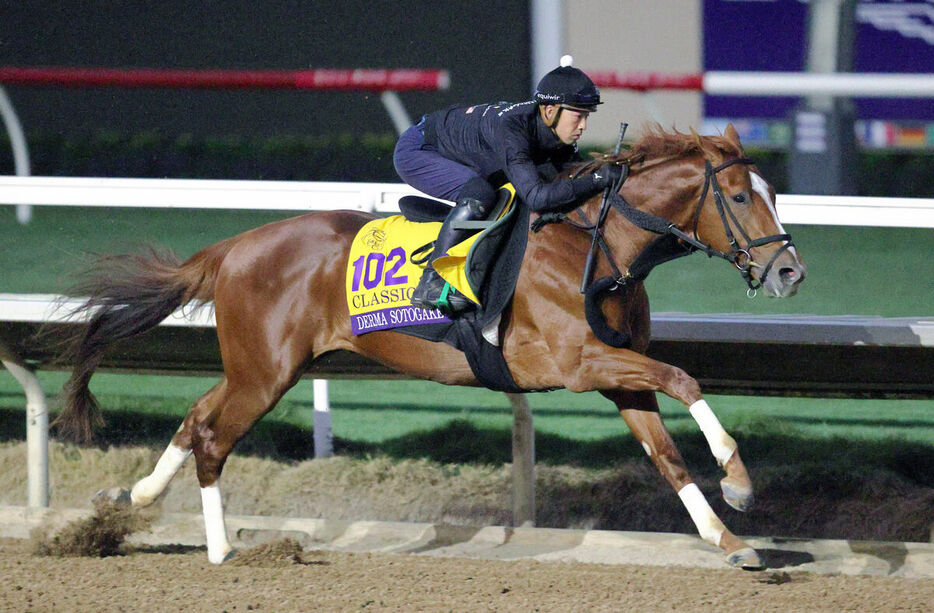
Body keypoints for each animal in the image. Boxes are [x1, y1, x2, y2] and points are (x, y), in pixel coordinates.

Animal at [54, 124, 808, 568]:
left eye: (773, 191)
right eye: (741, 196)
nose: (790, 272)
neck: (599, 245)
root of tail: (233, 246)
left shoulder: (617, 374)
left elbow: (667, 455)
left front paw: (729, 538)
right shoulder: (579, 365)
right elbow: (684, 378)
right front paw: (739, 482)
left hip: (260, 367)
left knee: (195, 417)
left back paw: (139, 494)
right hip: (265, 373)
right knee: (214, 438)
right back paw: (218, 552)